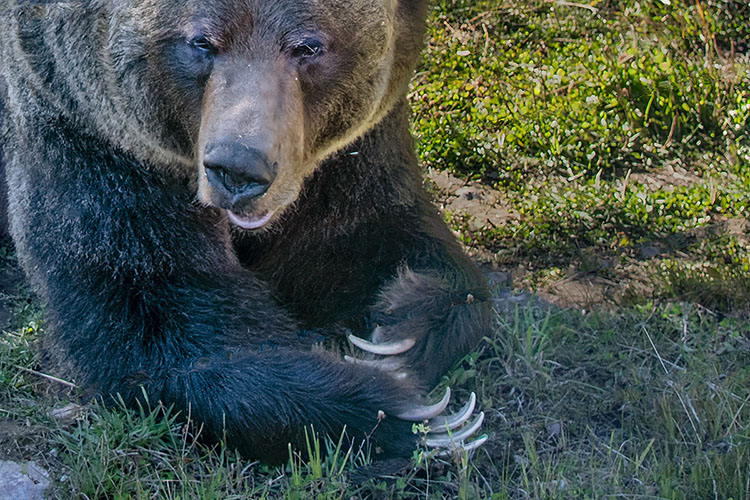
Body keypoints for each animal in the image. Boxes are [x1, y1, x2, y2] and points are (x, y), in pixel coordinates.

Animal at [0, 0, 496, 462]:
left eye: (308, 47)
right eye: (201, 42)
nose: (238, 169)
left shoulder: (349, 158)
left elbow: (379, 236)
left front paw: (400, 334)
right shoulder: (85, 136)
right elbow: (145, 314)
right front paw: (404, 415)